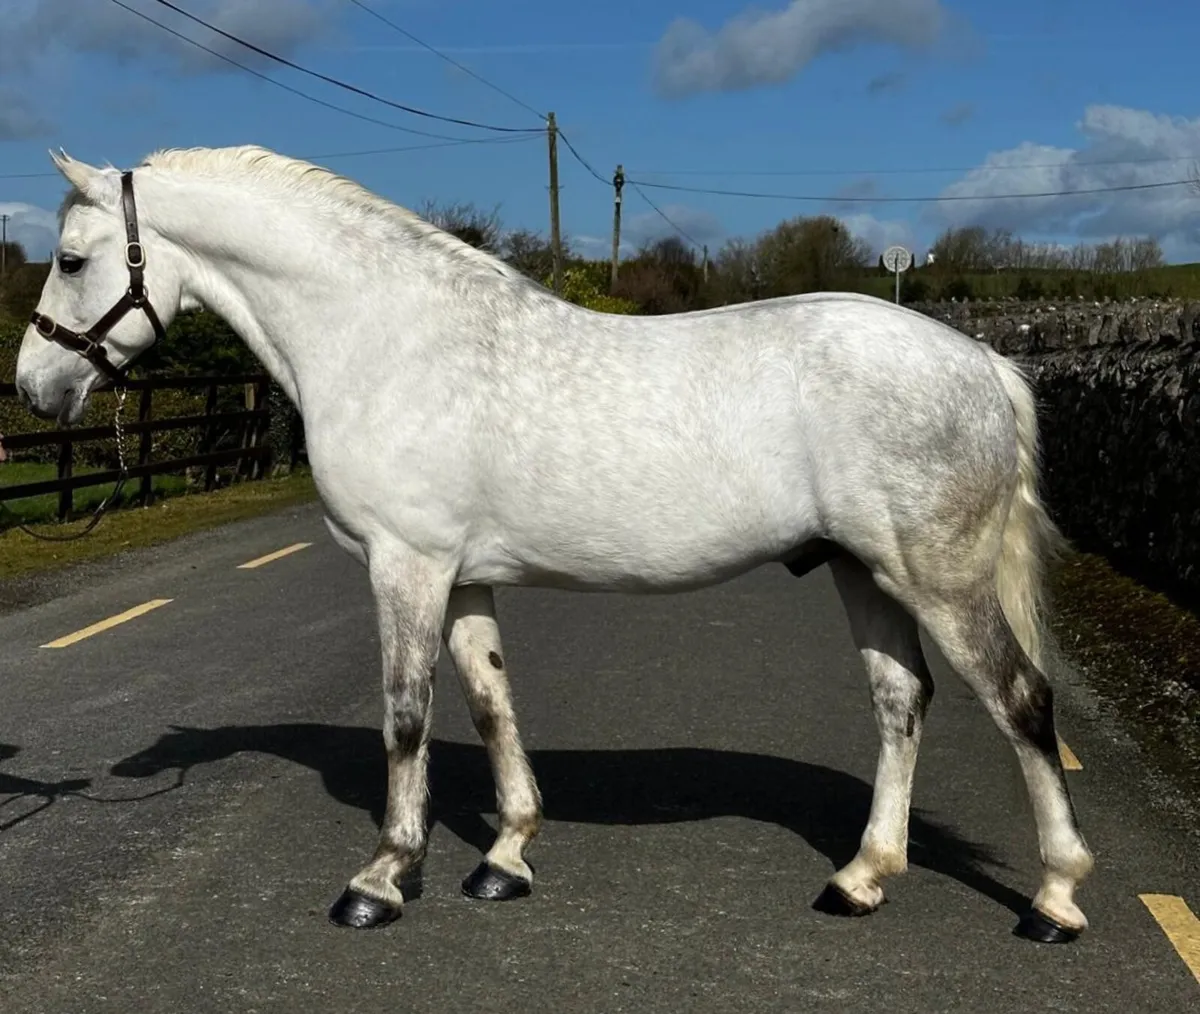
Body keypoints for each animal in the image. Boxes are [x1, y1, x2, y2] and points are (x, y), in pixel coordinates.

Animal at [15, 145, 1093, 944]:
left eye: (69, 259)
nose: (34, 387)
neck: (382, 337)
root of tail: (983, 363)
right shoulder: (459, 579)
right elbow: (493, 703)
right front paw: (504, 859)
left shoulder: (405, 566)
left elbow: (405, 717)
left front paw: (381, 879)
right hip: (863, 571)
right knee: (901, 703)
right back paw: (861, 877)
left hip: (938, 577)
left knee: (1022, 702)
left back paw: (1054, 900)